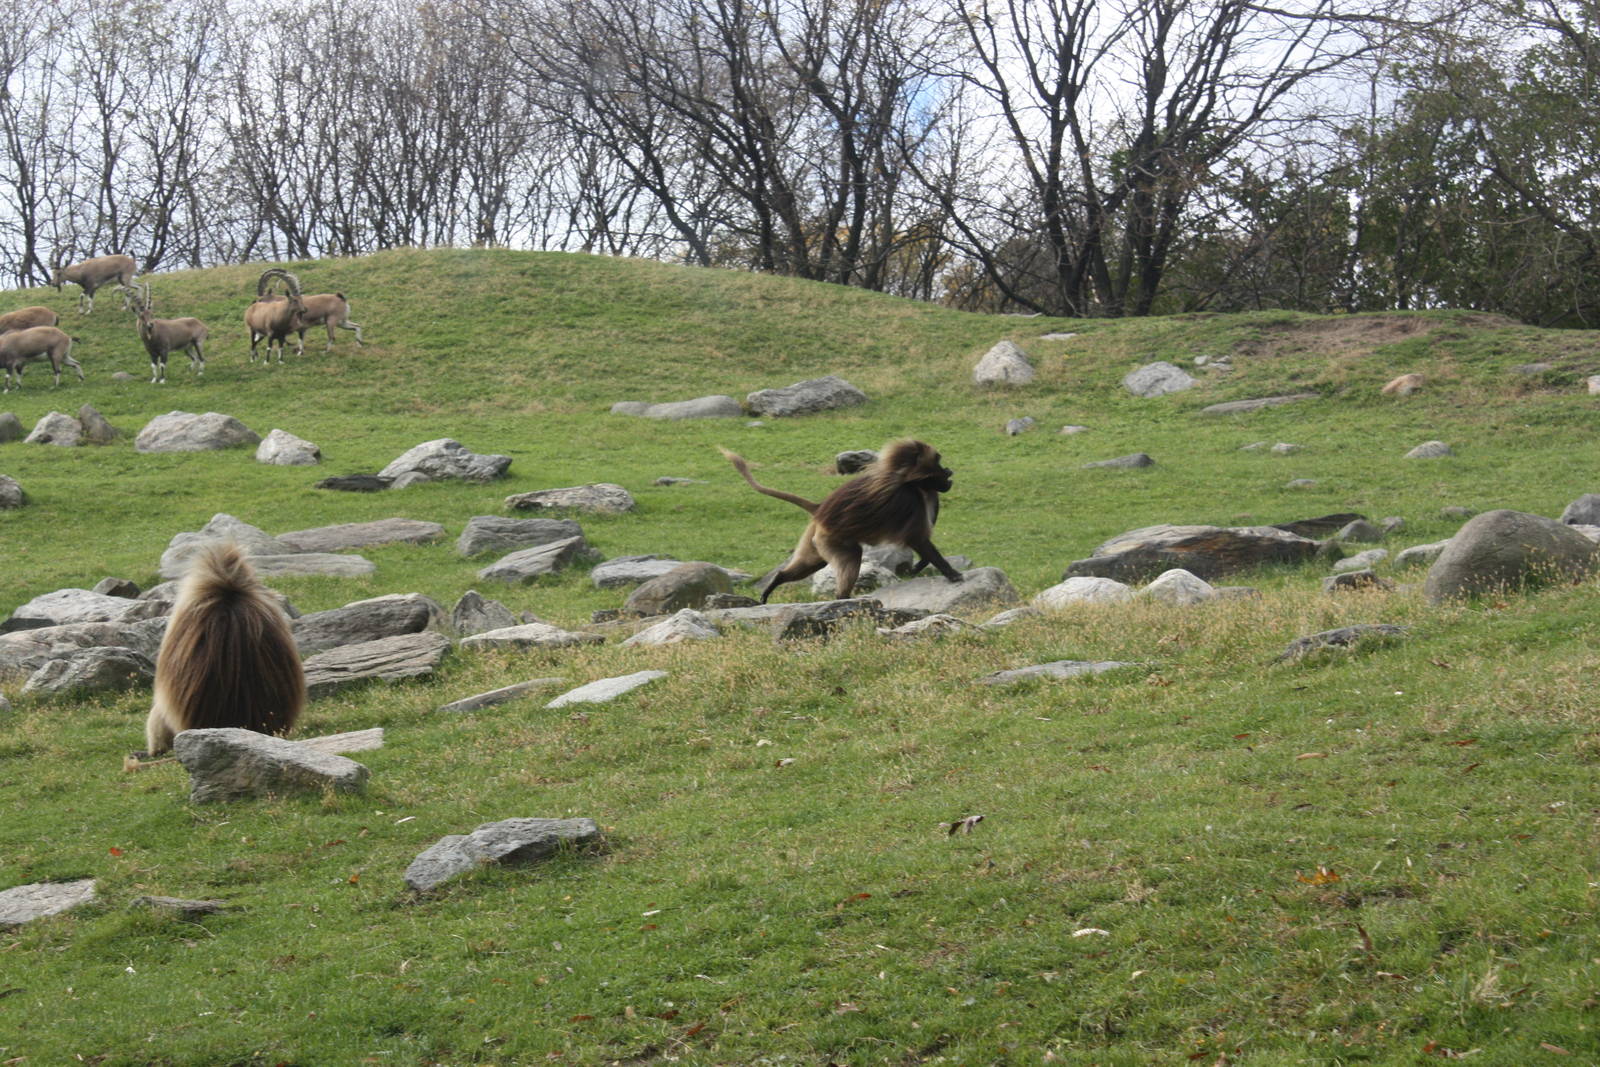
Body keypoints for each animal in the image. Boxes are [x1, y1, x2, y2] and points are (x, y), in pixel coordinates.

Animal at [721, 439, 965, 602]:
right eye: (939, 464)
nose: (950, 471)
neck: (909, 480)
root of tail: (820, 510)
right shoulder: (910, 501)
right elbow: (917, 538)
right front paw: (952, 574)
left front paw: (921, 565)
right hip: (832, 539)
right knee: (852, 557)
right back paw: (842, 600)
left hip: (817, 540)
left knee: (811, 563)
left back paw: (775, 584)